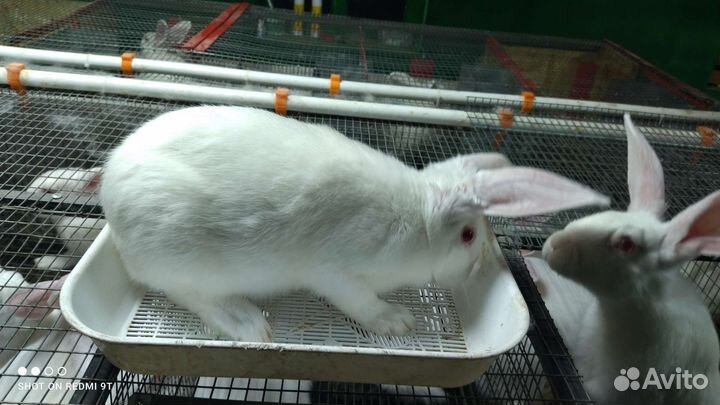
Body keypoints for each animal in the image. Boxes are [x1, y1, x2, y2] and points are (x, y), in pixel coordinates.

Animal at [100, 106, 610, 342]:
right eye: (467, 235)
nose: (477, 268)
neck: (416, 219)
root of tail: (111, 201)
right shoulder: (334, 273)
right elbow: (361, 301)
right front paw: (398, 321)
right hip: (185, 257)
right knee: (192, 295)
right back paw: (250, 325)